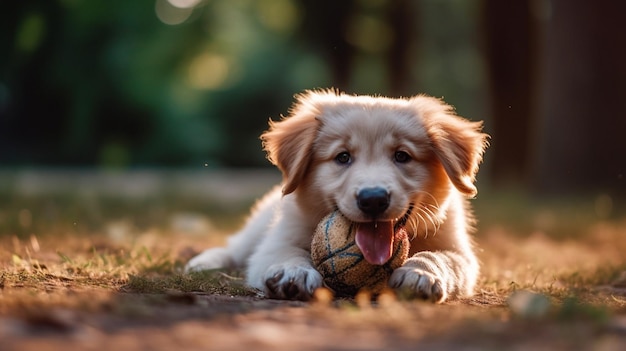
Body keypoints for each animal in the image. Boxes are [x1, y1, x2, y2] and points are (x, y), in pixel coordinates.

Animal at [185, 90, 488, 302]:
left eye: (402, 156)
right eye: (342, 157)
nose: (373, 199)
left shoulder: (459, 250)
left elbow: (443, 258)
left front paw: (421, 273)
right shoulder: (276, 240)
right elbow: (286, 252)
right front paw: (293, 272)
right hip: (259, 225)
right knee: (235, 248)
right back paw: (202, 263)